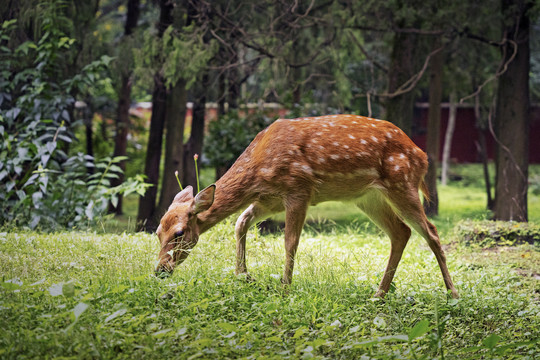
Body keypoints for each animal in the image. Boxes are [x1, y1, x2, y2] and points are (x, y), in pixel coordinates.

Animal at [155, 114, 460, 298]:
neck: (258, 166)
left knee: (431, 231)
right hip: (368, 197)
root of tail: (422, 156)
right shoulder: (268, 200)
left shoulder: (298, 189)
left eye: (179, 232)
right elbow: (241, 222)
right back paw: (379, 294)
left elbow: (290, 241)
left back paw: (452, 293)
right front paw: (244, 276)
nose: (160, 269)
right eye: (157, 231)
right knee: (401, 232)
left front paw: (284, 288)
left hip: (402, 182)